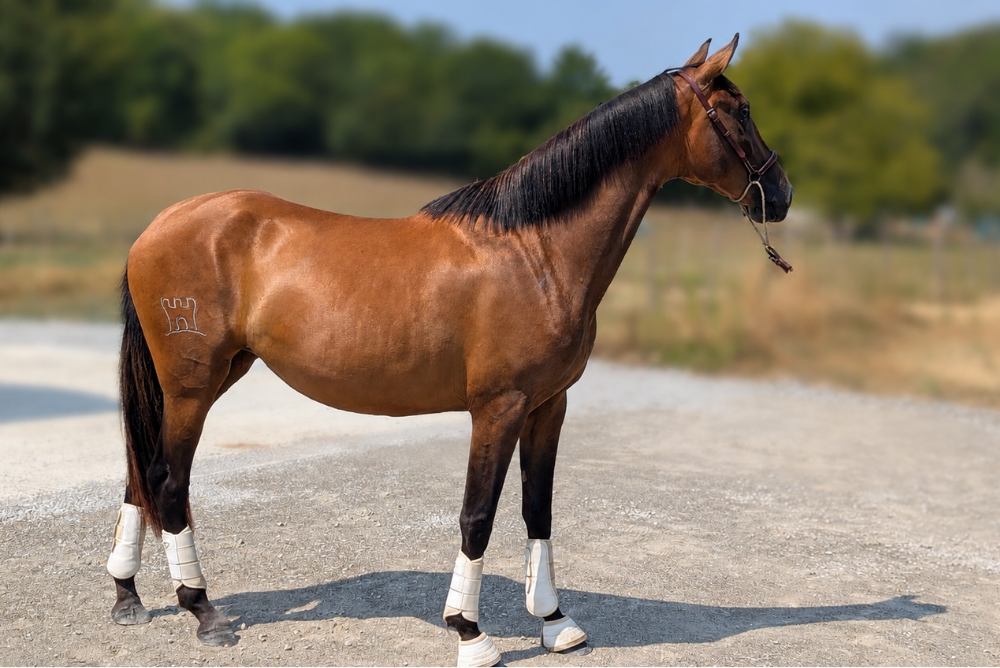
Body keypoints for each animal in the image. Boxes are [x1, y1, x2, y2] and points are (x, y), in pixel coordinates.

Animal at [104, 34, 791, 667]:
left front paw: (556, 623)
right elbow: (477, 514)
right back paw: (202, 611)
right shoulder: (499, 408)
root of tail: (157, 226)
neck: (535, 253)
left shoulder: (549, 406)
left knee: (141, 471)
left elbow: (537, 509)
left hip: (207, 376)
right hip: (193, 384)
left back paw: (127, 595)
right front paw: (470, 633)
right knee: (168, 480)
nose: (781, 193)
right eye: (740, 111)